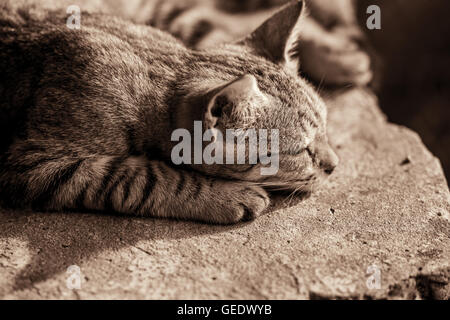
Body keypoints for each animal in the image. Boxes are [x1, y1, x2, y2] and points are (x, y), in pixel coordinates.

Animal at [0, 1, 340, 224]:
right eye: (301, 150)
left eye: (325, 128)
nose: (335, 165)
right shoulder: (33, 165)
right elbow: (141, 177)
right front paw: (224, 195)